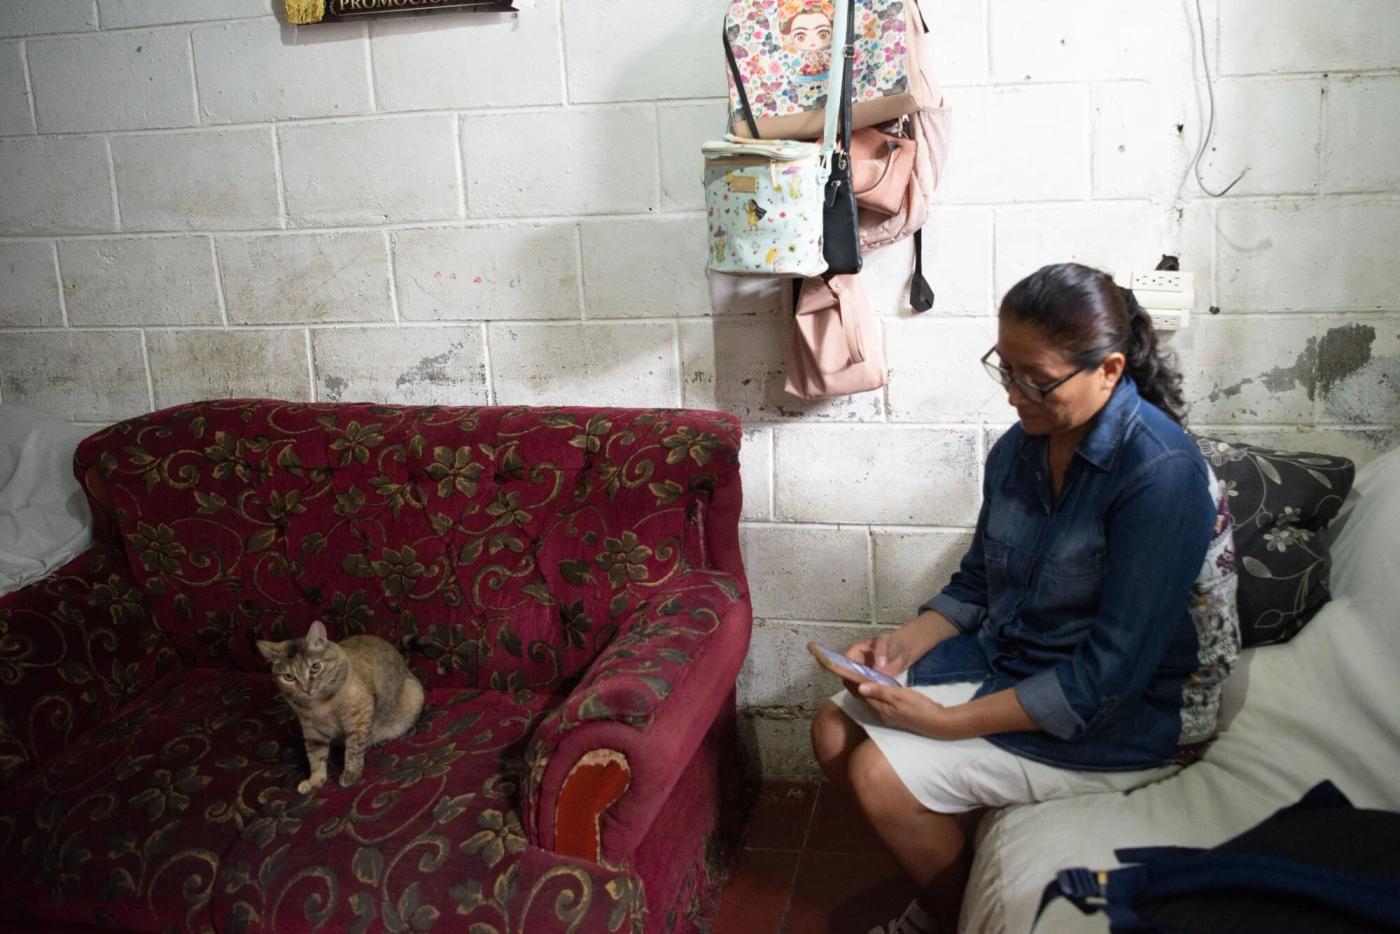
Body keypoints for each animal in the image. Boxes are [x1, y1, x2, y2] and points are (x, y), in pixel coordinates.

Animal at [256, 620, 425, 795]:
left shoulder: (359, 715)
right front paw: (315, 780)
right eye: (289, 676)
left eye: (315, 667)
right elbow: (315, 756)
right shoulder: (312, 729)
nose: (306, 689)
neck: (319, 705)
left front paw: (351, 773)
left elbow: (353, 749)